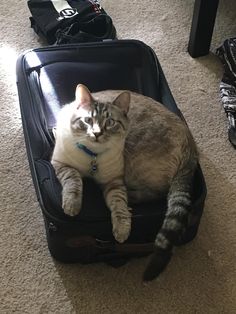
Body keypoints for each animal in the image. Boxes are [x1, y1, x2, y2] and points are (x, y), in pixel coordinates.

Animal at [50, 83, 198, 280]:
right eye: (88, 120)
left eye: (110, 123)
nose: (97, 133)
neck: (92, 158)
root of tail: (192, 148)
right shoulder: (61, 164)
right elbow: (74, 182)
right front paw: (72, 206)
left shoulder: (114, 181)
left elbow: (119, 206)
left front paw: (121, 231)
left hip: (134, 165)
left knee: (160, 192)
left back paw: (132, 199)